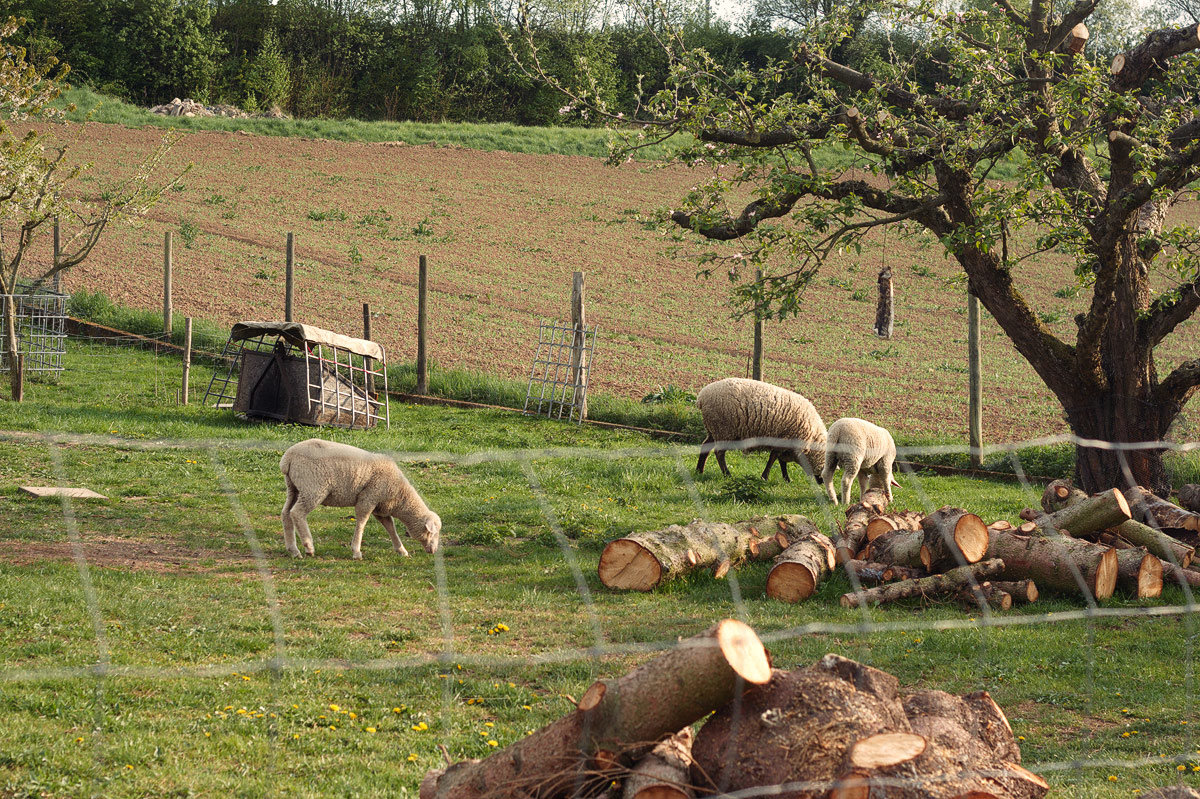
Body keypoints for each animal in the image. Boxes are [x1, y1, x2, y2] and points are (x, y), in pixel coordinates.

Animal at [278, 436, 444, 559]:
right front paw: (356, 551)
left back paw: (293, 550)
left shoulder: (380, 508)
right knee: (297, 513)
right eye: (433, 532)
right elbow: (362, 522)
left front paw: (401, 550)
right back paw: (308, 546)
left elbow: (391, 528)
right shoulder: (369, 498)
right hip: (313, 488)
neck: (400, 495)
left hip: (294, 488)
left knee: (286, 513)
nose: (433, 551)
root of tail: (288, 458)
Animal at [696, 379, 825, 482]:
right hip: (723, 429)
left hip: (713, 429)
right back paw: (727, 475)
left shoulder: (783, 442)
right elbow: (773, 459)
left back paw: (699, 470)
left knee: (705, 446)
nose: (821, 482)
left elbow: (780, 461)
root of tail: (701, 397)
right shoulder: (785, 440)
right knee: (719, 453)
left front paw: (786, 479)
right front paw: (765, 477)